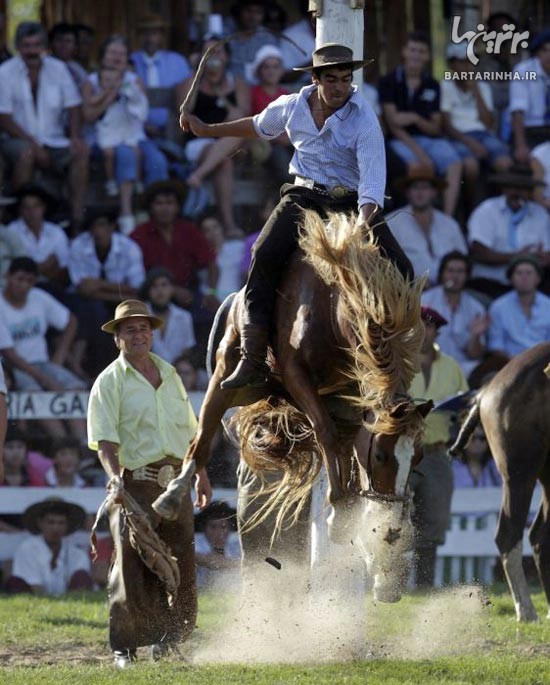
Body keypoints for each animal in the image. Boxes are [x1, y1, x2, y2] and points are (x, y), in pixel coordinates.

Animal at [153, 211, 434, 600]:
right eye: (381, 456)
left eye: (418, 457)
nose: (392, 529)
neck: (334, 304)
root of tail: (234, 300)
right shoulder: (297, 375)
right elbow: (327, 434)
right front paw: (341, 516)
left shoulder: (354, 400)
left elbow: (346, 452)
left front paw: (366, 535)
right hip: (227, 378)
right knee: (203, 435)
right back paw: (173, 494)